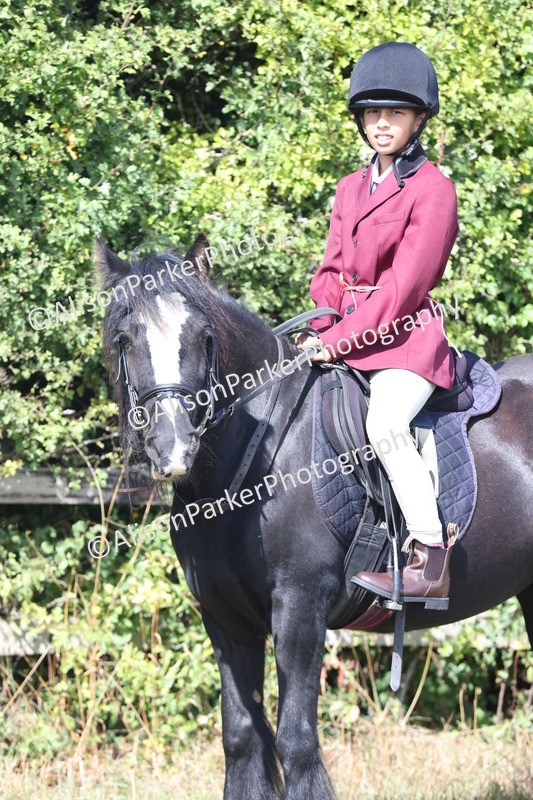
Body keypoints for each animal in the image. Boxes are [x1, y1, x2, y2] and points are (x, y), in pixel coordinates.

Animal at [96, 234, 533, 800]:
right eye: (125, 339)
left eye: (204, 336)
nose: (173, 447)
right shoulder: (225, 619)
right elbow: (241, 737)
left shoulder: (300, 610)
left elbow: (297, 742)